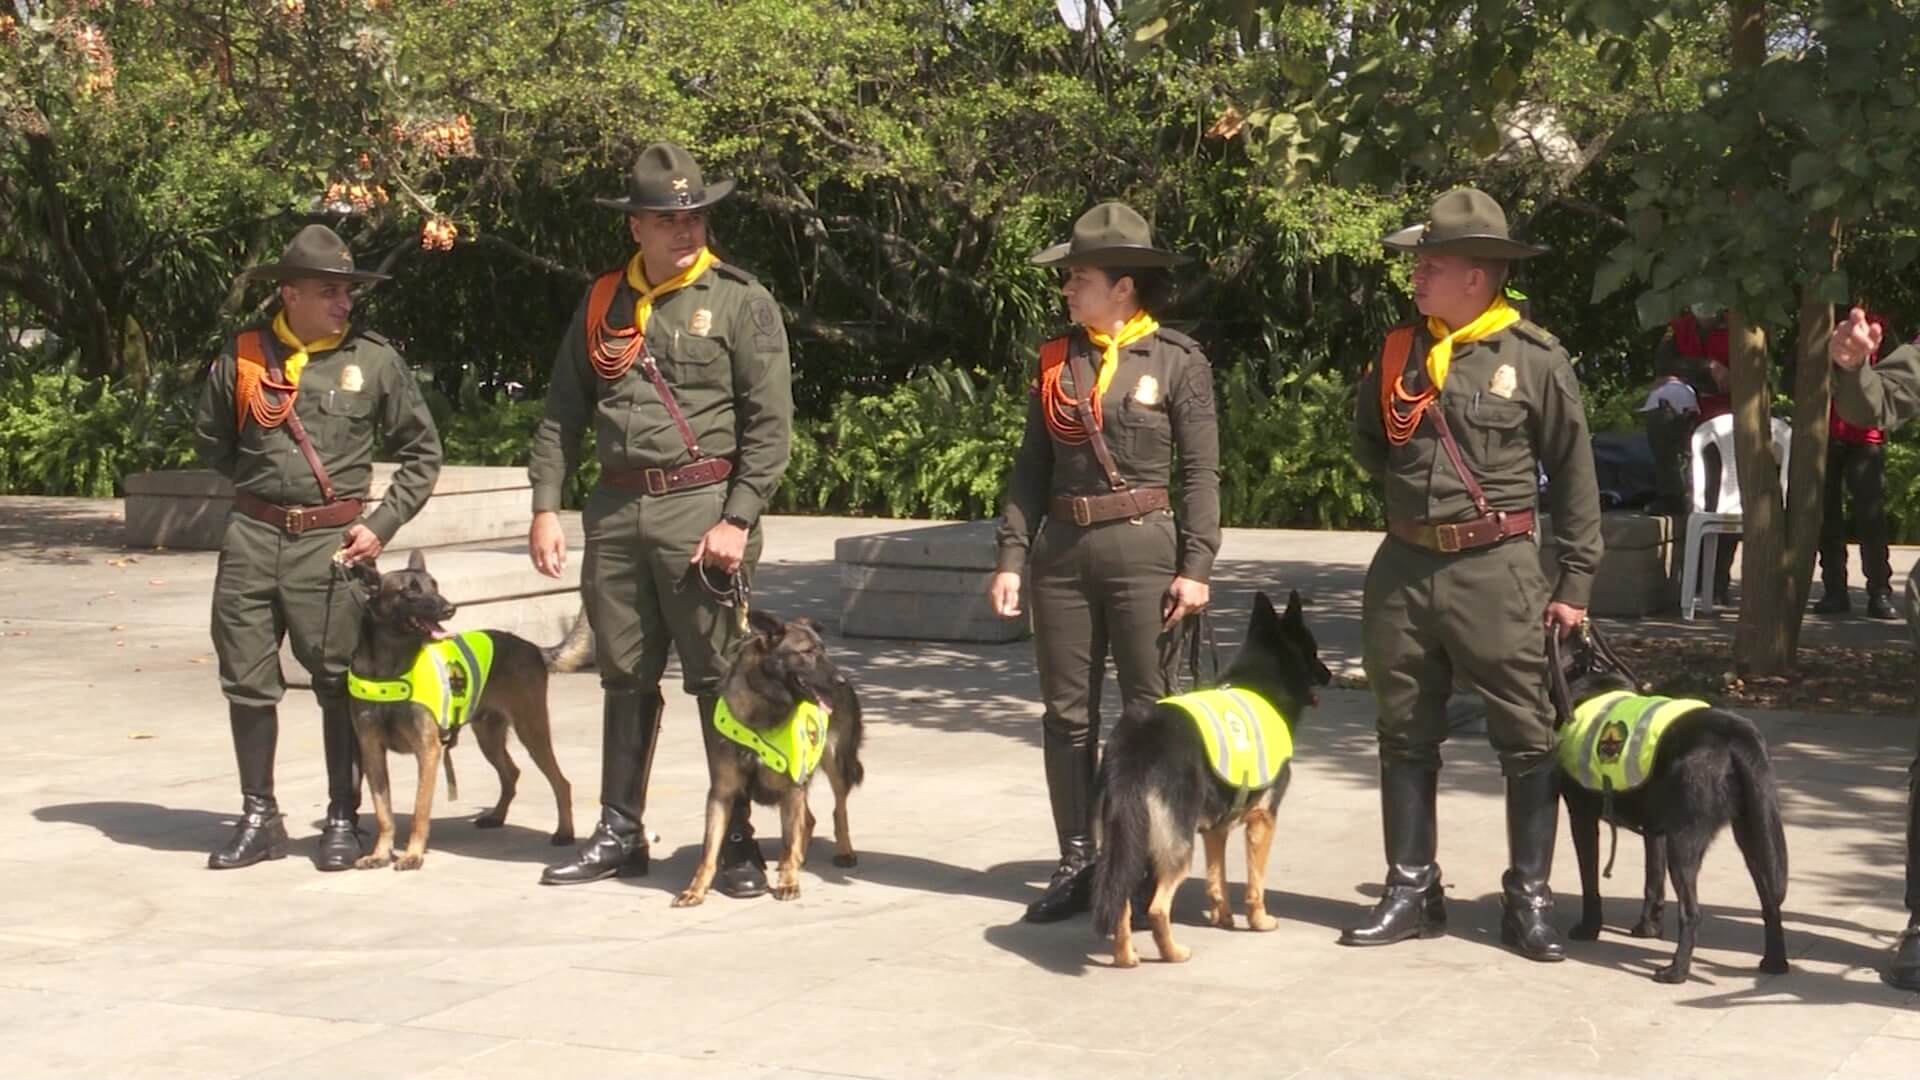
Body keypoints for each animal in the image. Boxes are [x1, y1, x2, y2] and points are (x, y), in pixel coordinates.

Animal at [345, 549, 572, 868]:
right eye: (410, 591)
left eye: (434, 586)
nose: (449, 609)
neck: (391, 667)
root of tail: (533, 647)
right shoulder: (372, 751)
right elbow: (383, 812)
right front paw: (380, 854)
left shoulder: (428, 751)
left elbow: (419, 810)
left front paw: (413, 855)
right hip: (488, 736)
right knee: (511, 773)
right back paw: (497, 816)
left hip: (532, 731)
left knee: (561, 782)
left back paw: (564, 832)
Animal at [668, 611, 864, 903]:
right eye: (807, 652)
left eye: (824, 651)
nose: (841, 682)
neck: (762, 709)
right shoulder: (722, 793)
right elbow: (709, 850)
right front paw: (696, 889)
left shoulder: (792, 786)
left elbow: (789, 840)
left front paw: (789, 883)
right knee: (809, 819)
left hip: (835, 764)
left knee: (838, 810)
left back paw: (843, 851)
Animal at [1090, 588, 1328, 968]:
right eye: (1313, 652)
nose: (1330, 674)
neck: (1262, 678)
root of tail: (1135, 745)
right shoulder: (1263, 820)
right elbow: (1255, 883)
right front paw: (1259, 921)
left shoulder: (1216, 829)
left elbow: (1217, 880)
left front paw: (1223, 918)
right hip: (1176, 846)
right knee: (1158, 908)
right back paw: (1173, 953)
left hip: (1130, 841)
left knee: (1121, 902)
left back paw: (1126, 957)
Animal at [1551, 626, 1789, 980]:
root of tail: (1735, 735)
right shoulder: (1656, 830)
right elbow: (1653, 881)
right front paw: (1648, 928)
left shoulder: (1581, 815)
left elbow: (1589, 880)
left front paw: (1589, 928)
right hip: (1753, 834)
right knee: (1771, 901)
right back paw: (1775, 963)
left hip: (1685, 841)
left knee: (1692, 911)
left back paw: (1676, 971)